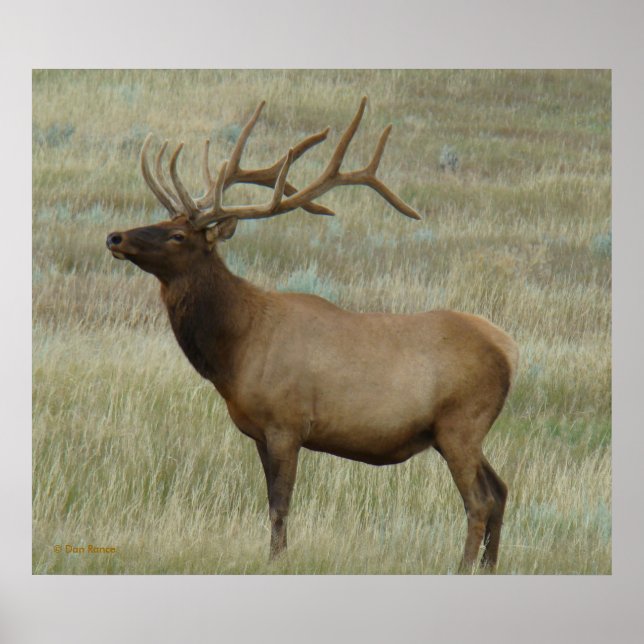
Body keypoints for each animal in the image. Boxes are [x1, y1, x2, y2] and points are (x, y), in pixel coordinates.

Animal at [106, 97, 519, 572]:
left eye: (177, 235)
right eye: (160, 217)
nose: (115, 236)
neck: (235, 351)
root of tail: (510, 350)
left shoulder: (286, 423)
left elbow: (280, 504)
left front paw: (277, 560)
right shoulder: (258, 431)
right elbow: (271, 502)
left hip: (461, 423)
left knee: (479, 500)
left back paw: (464, 566)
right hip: (461, 431)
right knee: (501, 489)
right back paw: (488, 566)